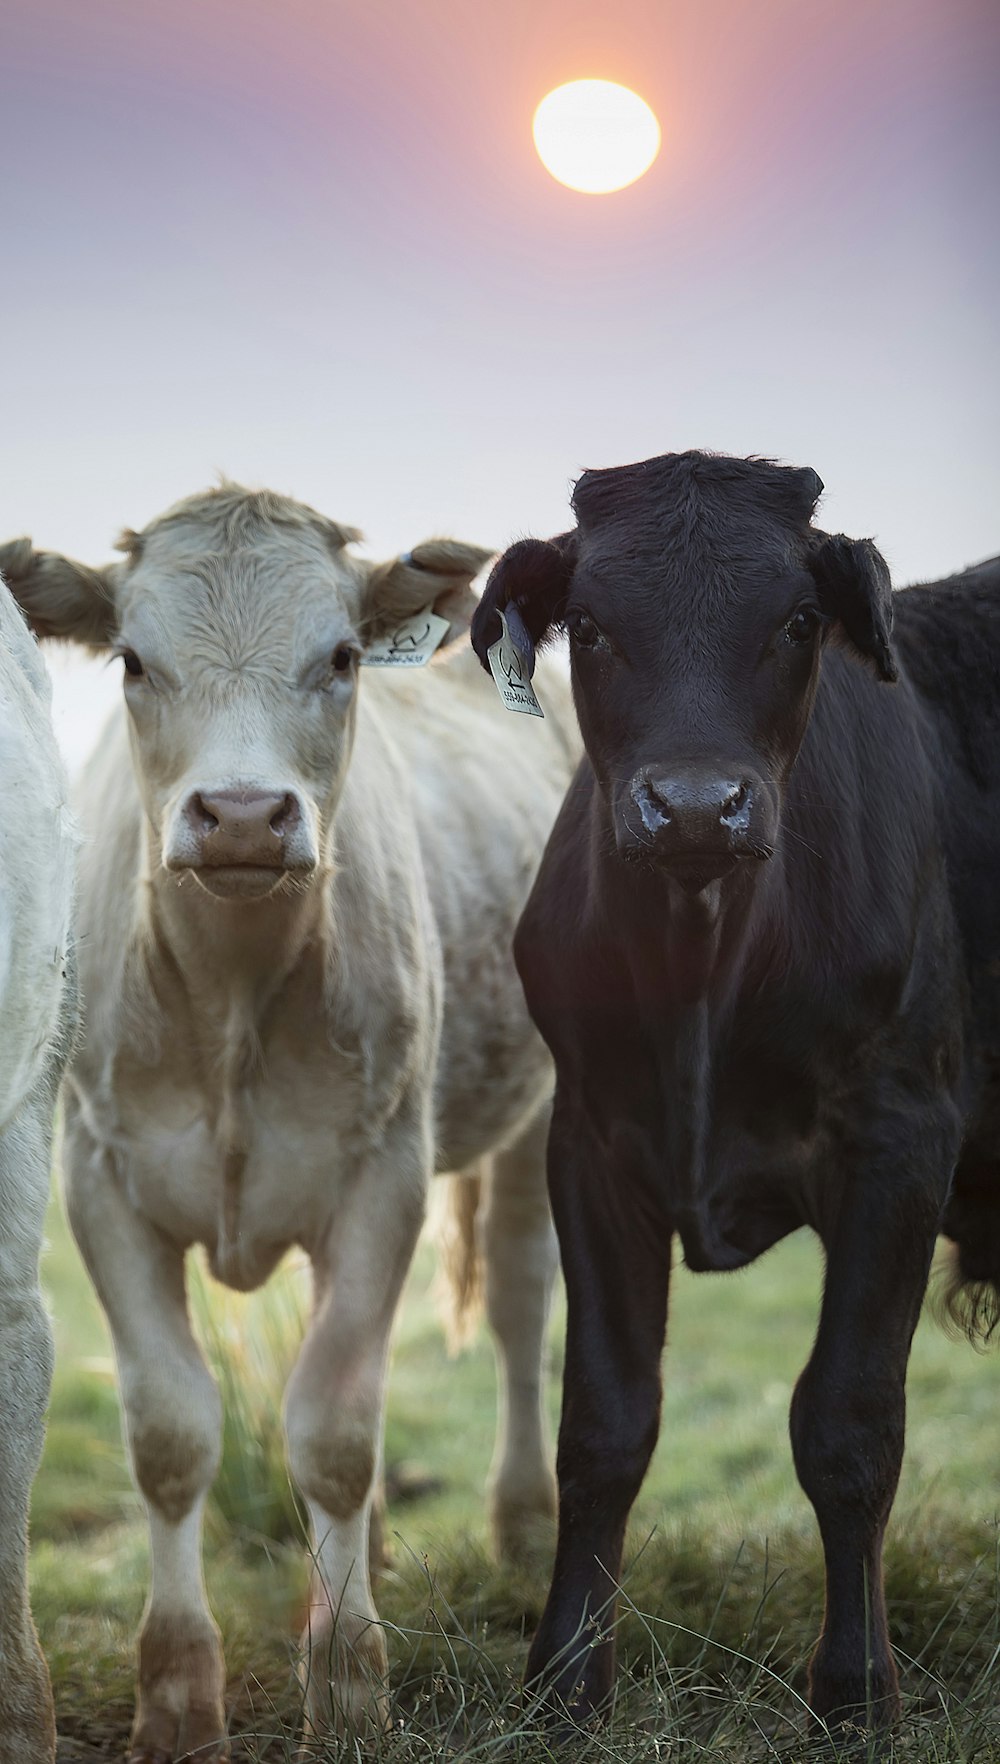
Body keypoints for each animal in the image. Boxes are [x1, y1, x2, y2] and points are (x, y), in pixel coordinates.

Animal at [0, 486, 578, 1764]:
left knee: (517, 1302)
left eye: (343, 655)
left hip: (543, 1105)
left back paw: (522, 1524)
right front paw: (177, 1696)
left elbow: (334, 1436)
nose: (241, 815)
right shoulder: (102, 1185)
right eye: (133, 660)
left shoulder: (384, 1179)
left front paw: (349, 1684)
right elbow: (173, 1439)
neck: (231, 997)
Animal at [472, 451, 1000, 1735]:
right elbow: (602, 1423)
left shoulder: (902, 1139)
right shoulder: (591, 1144)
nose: (698, 805)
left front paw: (855, 1690)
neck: (702, 967)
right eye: (591, 625)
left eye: (797, 622)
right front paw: (564, 1679)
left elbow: (847, 1423)